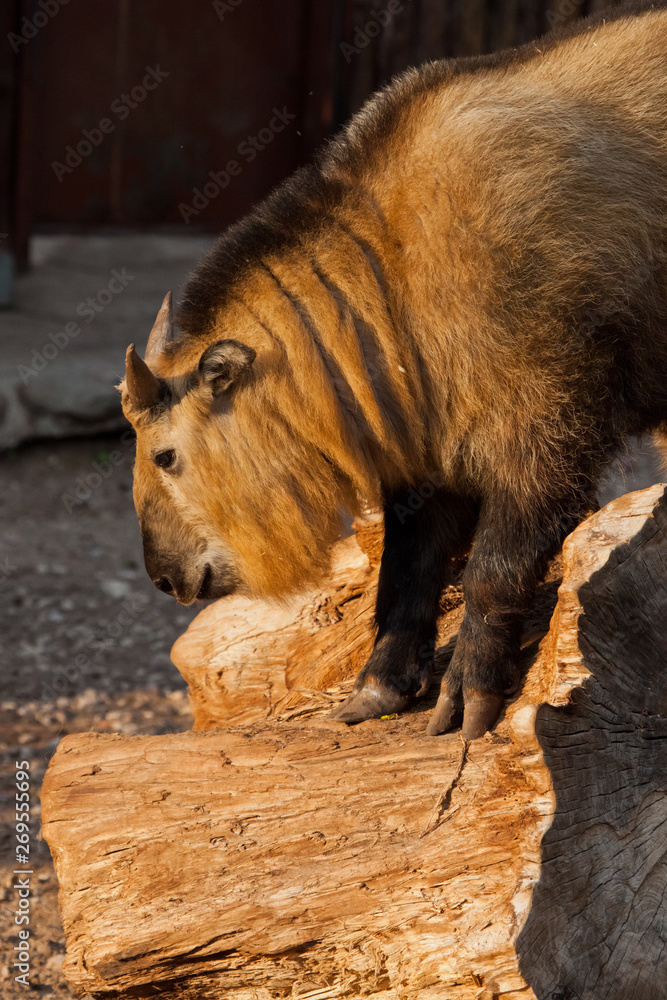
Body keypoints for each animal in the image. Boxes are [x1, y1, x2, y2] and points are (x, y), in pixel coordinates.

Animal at [120, 1, 667, 740]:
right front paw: (381, 685)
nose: (161, 577)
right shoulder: (429, 450)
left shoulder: (547, 426)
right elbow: (403, 574)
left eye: (167, 456)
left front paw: (470, 689)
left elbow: (492, 570)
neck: (391, 264)